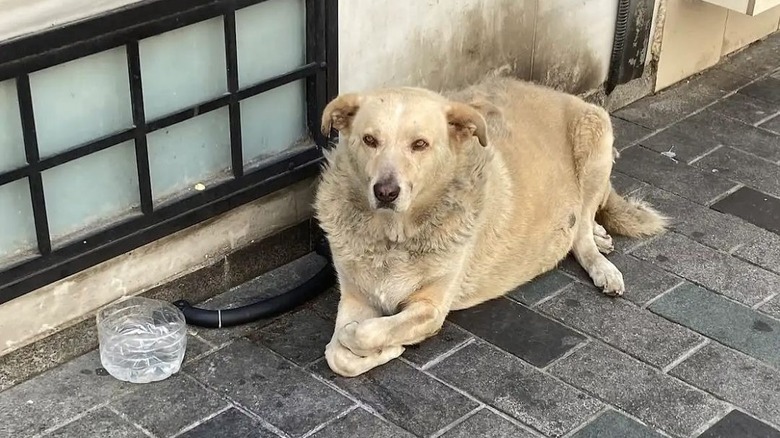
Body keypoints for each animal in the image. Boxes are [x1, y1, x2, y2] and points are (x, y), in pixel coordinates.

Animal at [314, 75, 668, 376]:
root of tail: (563, 94)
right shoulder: (355, 297)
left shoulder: (431, 307)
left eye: (420, 144)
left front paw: (389, 344)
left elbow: (359, 335)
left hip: (595, 139)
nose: (386, 192)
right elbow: (338, 356)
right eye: (369, 140)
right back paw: (600, 233)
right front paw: (373, 347)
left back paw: (602, 264)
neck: (394, 235)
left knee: (580, 231)